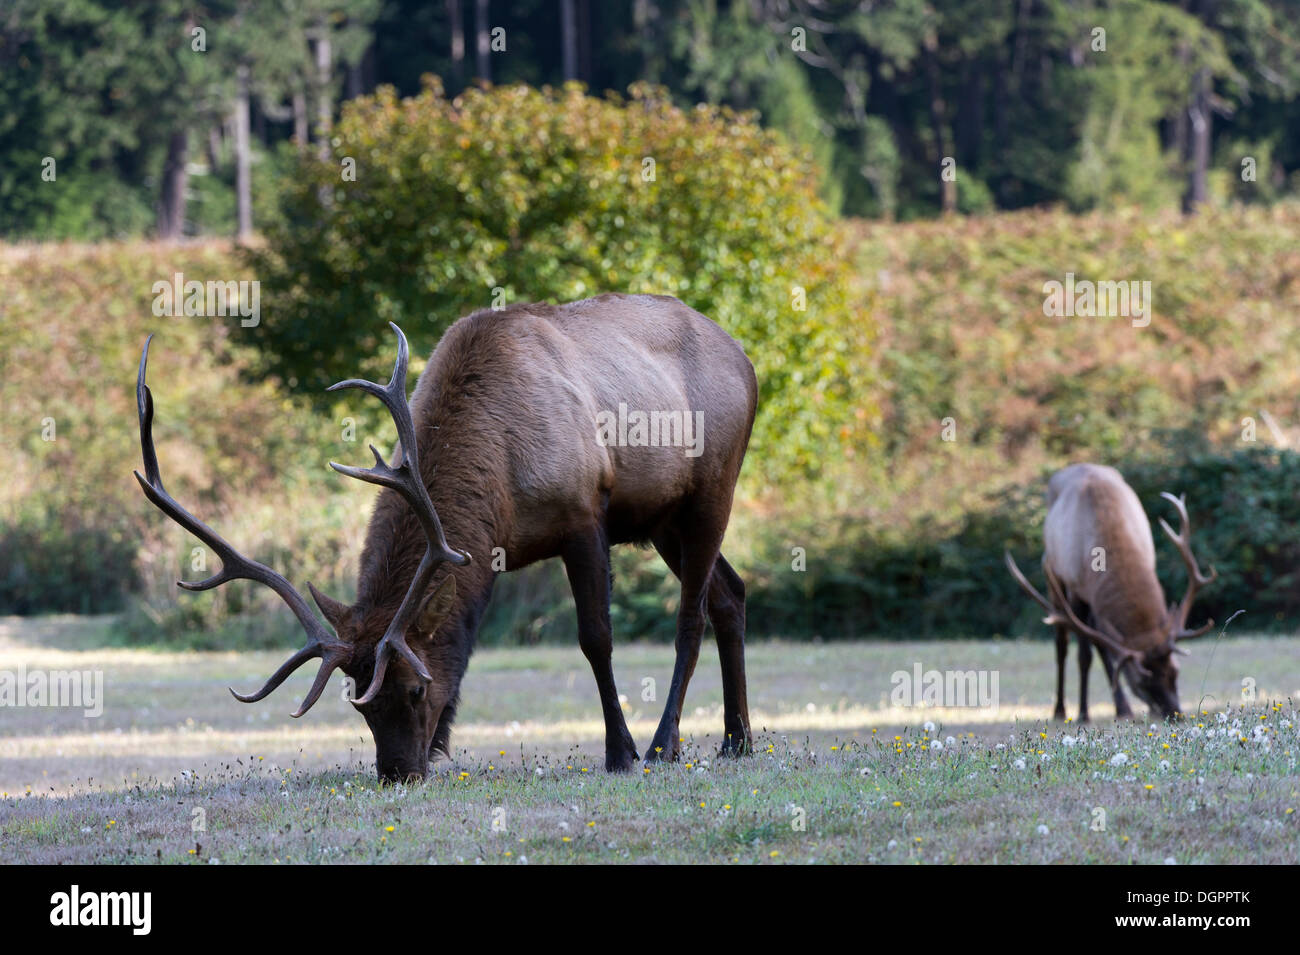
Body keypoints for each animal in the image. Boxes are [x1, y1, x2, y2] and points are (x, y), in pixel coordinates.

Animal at [133, 294, 759, 779]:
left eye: (412, 690)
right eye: (358, 704)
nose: (397, 772)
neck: (501, 476)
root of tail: (748, 360)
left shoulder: (584, 514)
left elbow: (596, 638)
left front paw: (619, 752)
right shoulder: (487, 554)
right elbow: (463, 645)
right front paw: (442, 746)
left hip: (714, 487)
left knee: (691, 617)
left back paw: (664, 745)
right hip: (663, 521)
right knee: (731, 593)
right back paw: (739, 740)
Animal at [1003, 465, 1216, 722]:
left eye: (1176, 671)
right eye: (1142, 682)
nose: (1175, 714)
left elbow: (1105, 649)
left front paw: (1123, 707)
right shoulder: (1075, 589)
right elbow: (1084, 655)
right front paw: (1083, 713)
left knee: (1102, 643)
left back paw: (1122, 707)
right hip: (1052, 575)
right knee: (1062, 642)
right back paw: (1061, 709)